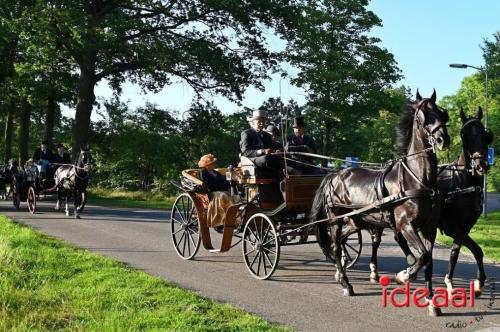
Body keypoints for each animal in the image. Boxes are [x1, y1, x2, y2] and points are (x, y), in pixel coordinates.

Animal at [312, 91, 450, 316]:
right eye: (423, 117)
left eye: (441, 113)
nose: (442, 139)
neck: (417, 180)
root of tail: (335, 174)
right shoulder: (405, 225)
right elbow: (421, 257)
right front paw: (404, 275)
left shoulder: (429, 228)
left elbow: (428, 260)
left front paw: (431, 301)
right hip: (336, 219)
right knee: (336, 246)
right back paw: (346, 283)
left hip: (355, 220)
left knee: (340, 242)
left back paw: (340, 273)